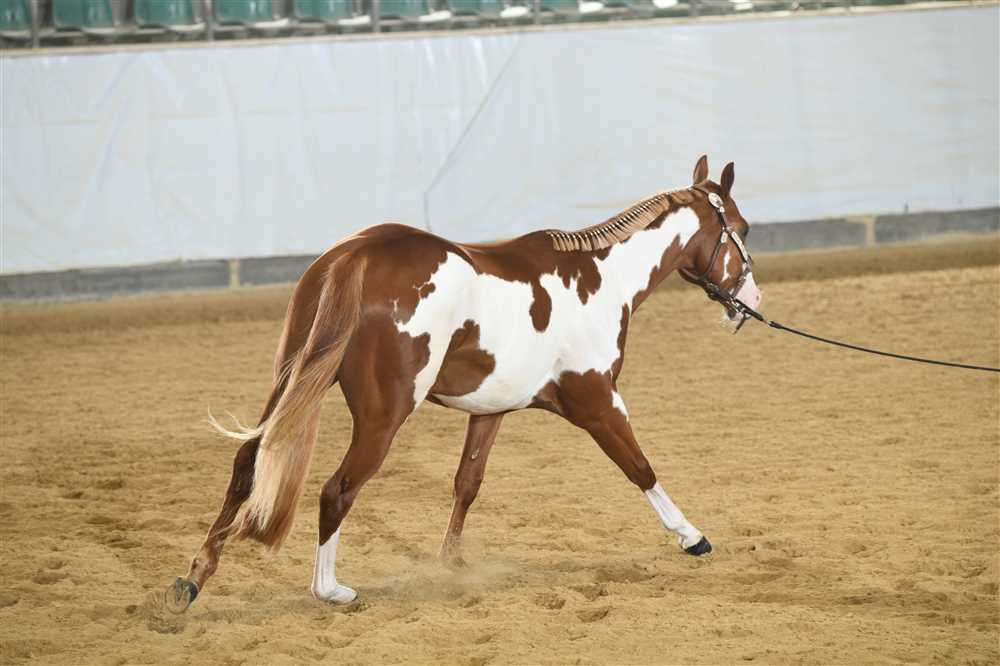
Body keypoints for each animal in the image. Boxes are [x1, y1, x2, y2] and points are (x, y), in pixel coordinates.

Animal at [166, 155, 761, 610]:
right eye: (742, 229)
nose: (750, 303)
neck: (601, 279)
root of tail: (356, 255)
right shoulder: (597, 402)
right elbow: (640, 468)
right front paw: (692, 537)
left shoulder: (490, 410)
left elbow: (467, 483)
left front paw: (450, 566)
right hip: (383, 417)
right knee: (337, 490)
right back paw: (330, 590)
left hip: (288, 381)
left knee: (246, 465)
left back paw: (193, 579)